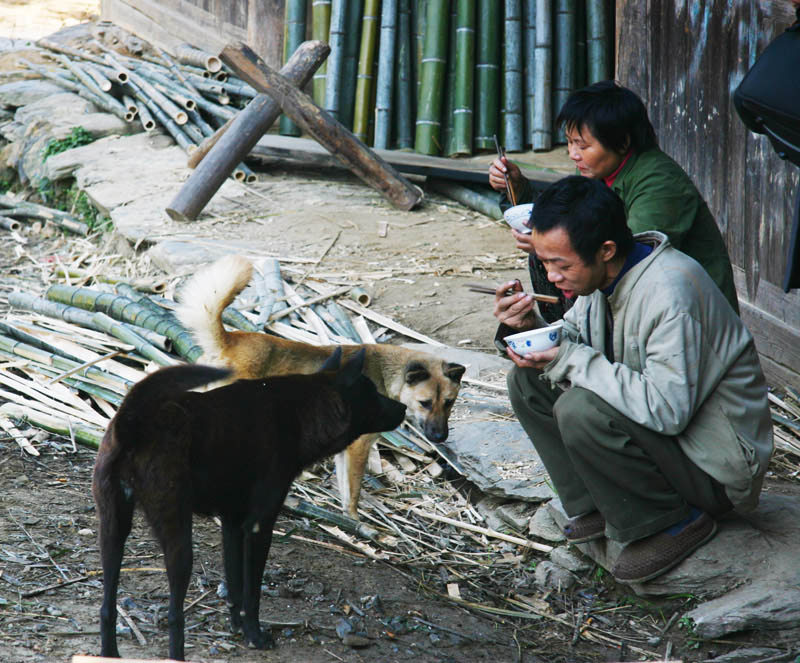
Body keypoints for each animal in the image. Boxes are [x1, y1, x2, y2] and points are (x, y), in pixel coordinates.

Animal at [94, 350, 406, 660]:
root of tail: (132, 422)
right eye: (372, 392)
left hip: (112, 532)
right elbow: (252, 593)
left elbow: (235, 586)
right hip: (178, 541)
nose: (403, 408)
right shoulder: (259, 527)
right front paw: (255, 635)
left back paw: (109, 653)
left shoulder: (232, 524)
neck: (301, 412)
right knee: (174, 616)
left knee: (107, 608)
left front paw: (237, 627)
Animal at [175, 254, 462, 520]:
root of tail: (230, 340)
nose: (440, 437)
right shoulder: (358, 448)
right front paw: (356, 521)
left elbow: (345, 488)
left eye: (449, 403)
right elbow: (354, 490)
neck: (385, 374)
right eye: (424, 403)